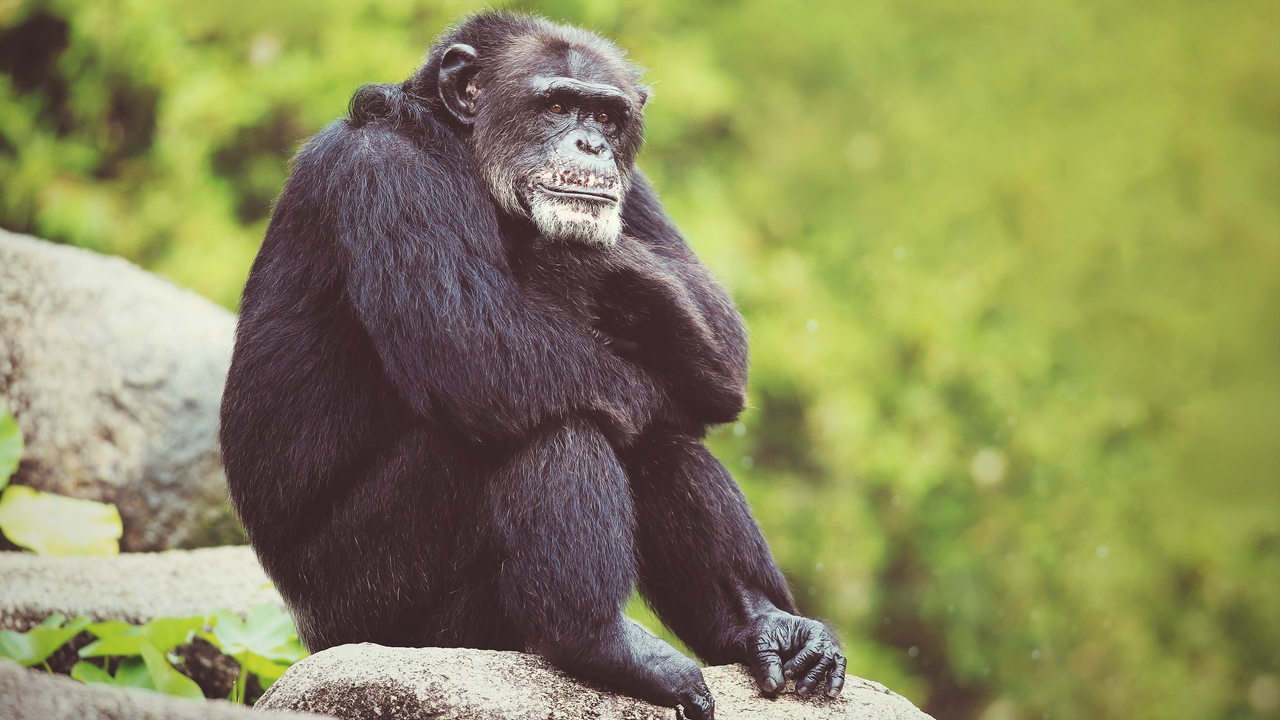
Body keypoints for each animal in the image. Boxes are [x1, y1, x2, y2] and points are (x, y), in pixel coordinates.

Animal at [222, 11, 839, 717]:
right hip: (374, 602)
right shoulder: (385, 174)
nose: (590, 145)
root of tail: (310, 634)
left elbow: (719, 328)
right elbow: (473, 348)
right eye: (556, 106)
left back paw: (764, 623)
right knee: (554, 417)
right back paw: (604, 642)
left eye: (606, 116)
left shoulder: (640, 190)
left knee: (654, 438)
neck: (461, 147)